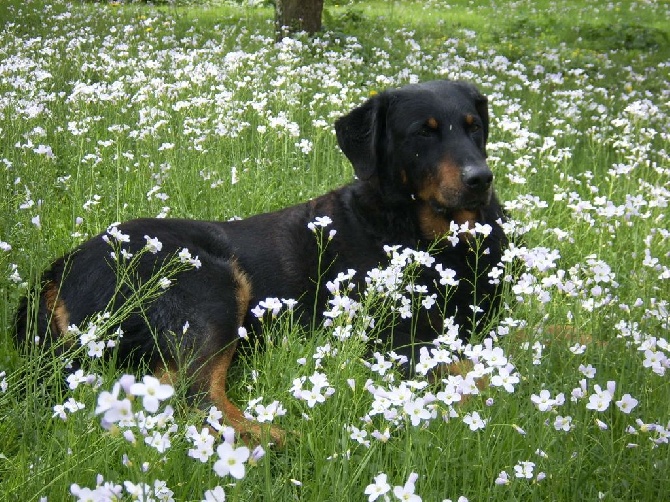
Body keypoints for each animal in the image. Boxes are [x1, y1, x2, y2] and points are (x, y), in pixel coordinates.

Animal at [15, 81, 506, 444]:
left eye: (475, 127)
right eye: (423, 133)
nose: (480, 178)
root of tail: (58, 269)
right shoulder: (391, 339)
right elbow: (473, 371)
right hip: (208, 286)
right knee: (189, 398)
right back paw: (278, 441)